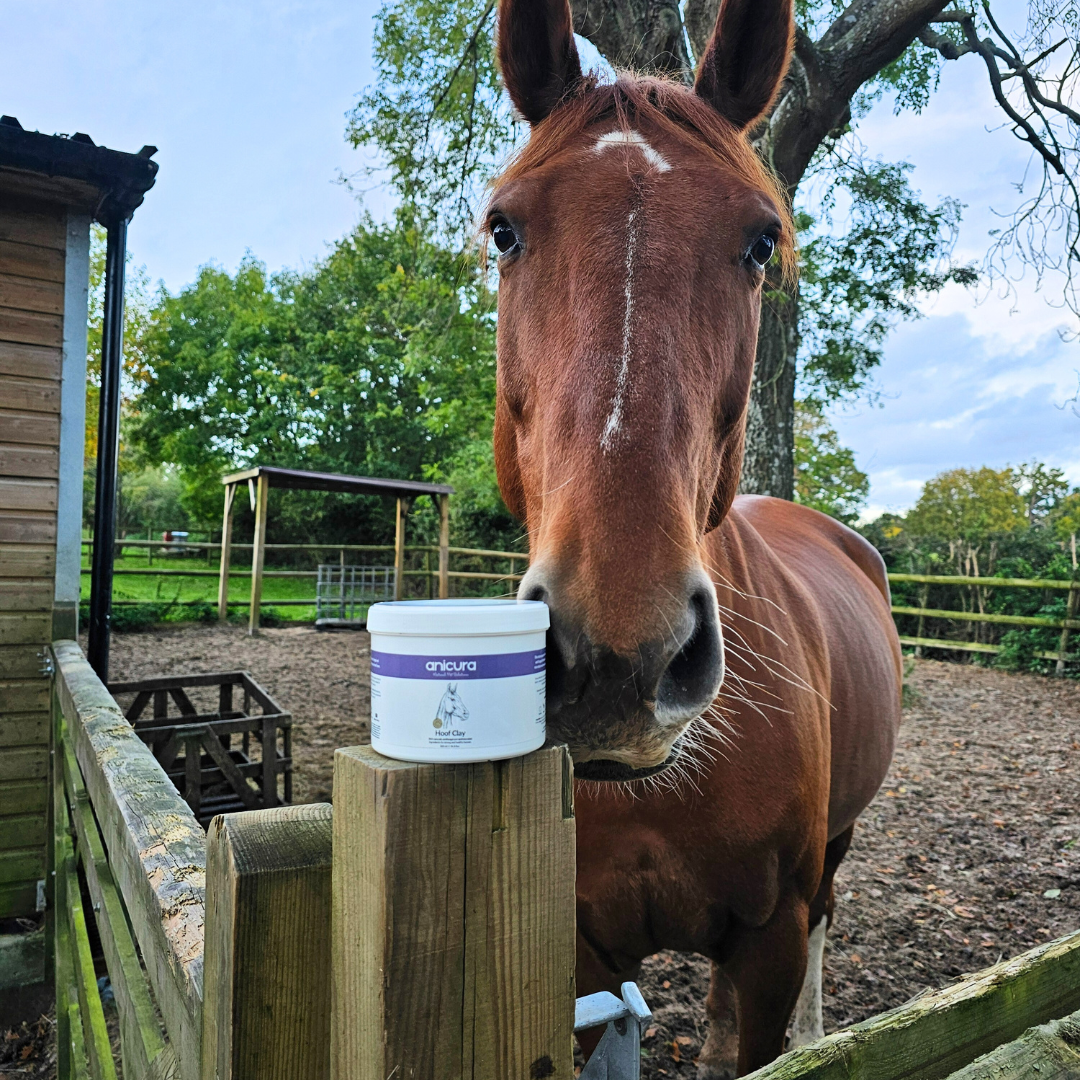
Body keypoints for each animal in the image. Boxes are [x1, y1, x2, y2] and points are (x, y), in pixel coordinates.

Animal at [489, 0, 902, 1074]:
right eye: (503, 229)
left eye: (762, 242)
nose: (616, 658)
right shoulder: (582, 958)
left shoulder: (770, 936)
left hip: (830, 858)